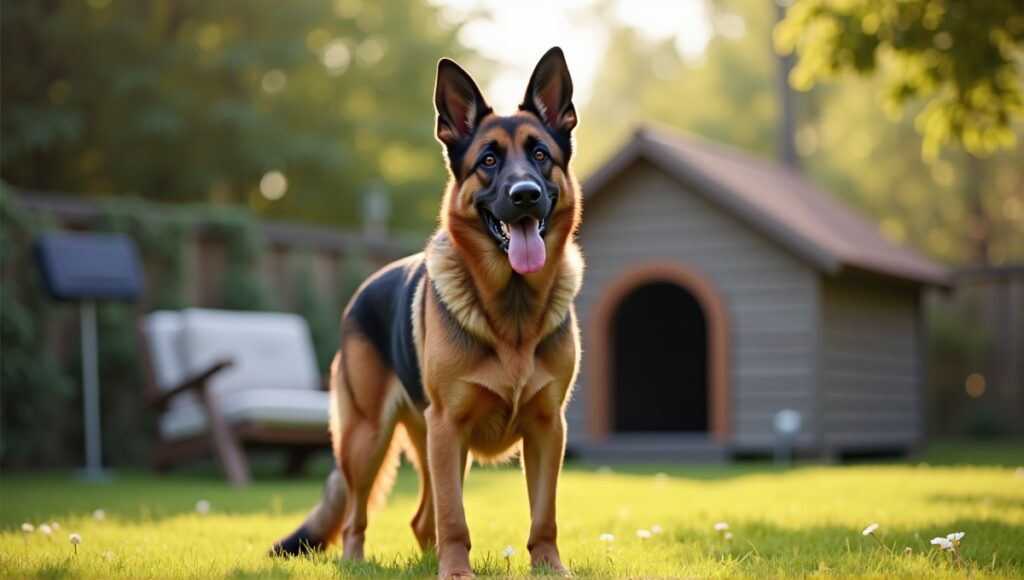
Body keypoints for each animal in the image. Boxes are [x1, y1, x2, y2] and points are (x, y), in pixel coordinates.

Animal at [272, 47, 585, 577]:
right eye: (488, 160)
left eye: (541, 155)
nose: (525, 194)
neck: (512, 308)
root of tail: (361, 292)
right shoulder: (448, 428)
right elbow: (455, 517)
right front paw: (457, 572)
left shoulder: (548, 430)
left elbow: (544, 514)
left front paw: (550, 568)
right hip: (369, 441)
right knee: (359, 516)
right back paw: (359, 562)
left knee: (422, 520)